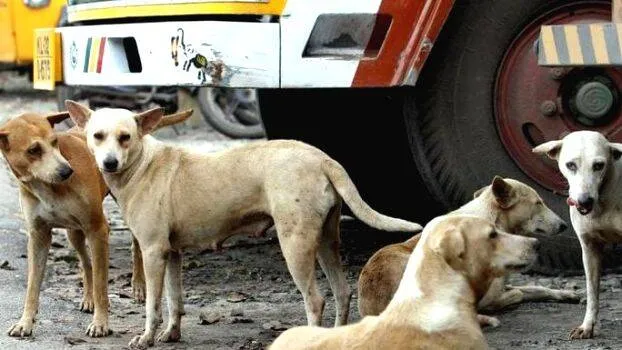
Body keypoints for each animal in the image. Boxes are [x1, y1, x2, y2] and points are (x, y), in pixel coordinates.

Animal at [0, 108, 193, 336]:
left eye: (55, 142)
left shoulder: (98, 230)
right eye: (33, 150)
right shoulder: (39, 236)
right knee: (86, 262)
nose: (67, 171)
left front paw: (101, 322)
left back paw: (138, 285)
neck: (48, 187)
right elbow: (33, 285)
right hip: (74, 232)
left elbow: (102, 283)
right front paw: (25, 322)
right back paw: (88, 297)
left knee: (135, 247)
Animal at [66, 100, 426, 348]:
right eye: (97, 136)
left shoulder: (154, 252)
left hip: (295, 245)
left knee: (316, 300)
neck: (142, 163)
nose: (108, 163)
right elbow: (174, 299)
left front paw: (147, 337)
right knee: (341, 292)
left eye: (125, 137)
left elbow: (154, 305)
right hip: (326, 242)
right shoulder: (173, 254)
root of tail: (321, 157)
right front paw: (172, 333)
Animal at [358, 178, 584, 326]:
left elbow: (536, 288)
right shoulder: (490, 296)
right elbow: (517, 293)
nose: (565, 225)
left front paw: (567, 294)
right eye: (538, 202)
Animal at [532, 131, 622, 340]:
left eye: (599, 165)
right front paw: (587, 326)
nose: (584, 201)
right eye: (571, 165)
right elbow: (592, 292)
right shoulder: (589, 249)